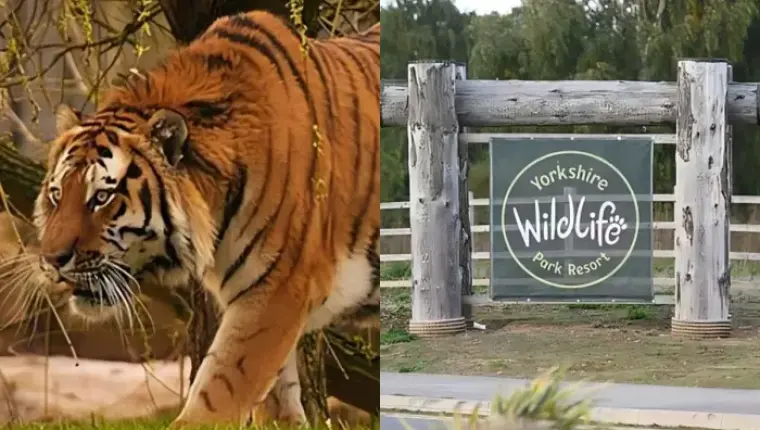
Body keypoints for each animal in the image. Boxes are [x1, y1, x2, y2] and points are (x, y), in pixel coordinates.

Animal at [32, 10, 379, 427]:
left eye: (101, 197)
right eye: (56, 195)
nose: (52, 260)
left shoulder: (276, 291)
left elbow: (218, 392)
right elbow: (274, 403)